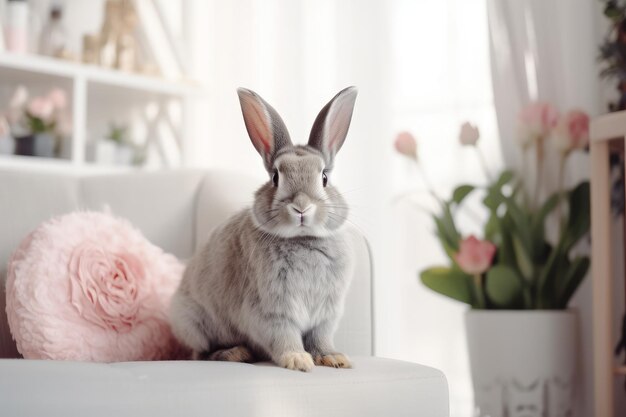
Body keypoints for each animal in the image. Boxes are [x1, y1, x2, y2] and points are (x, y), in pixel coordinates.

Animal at [168, 85, 358, 370]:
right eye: (276, 177)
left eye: (324, 177)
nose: (301, 207)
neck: (302, 239)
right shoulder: (271, 311)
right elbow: (284, 336)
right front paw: (297, 360)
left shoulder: (325, 316)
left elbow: (320, 339)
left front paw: (334, 358)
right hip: (194, 323)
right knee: (201, 353)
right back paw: (237, 353)